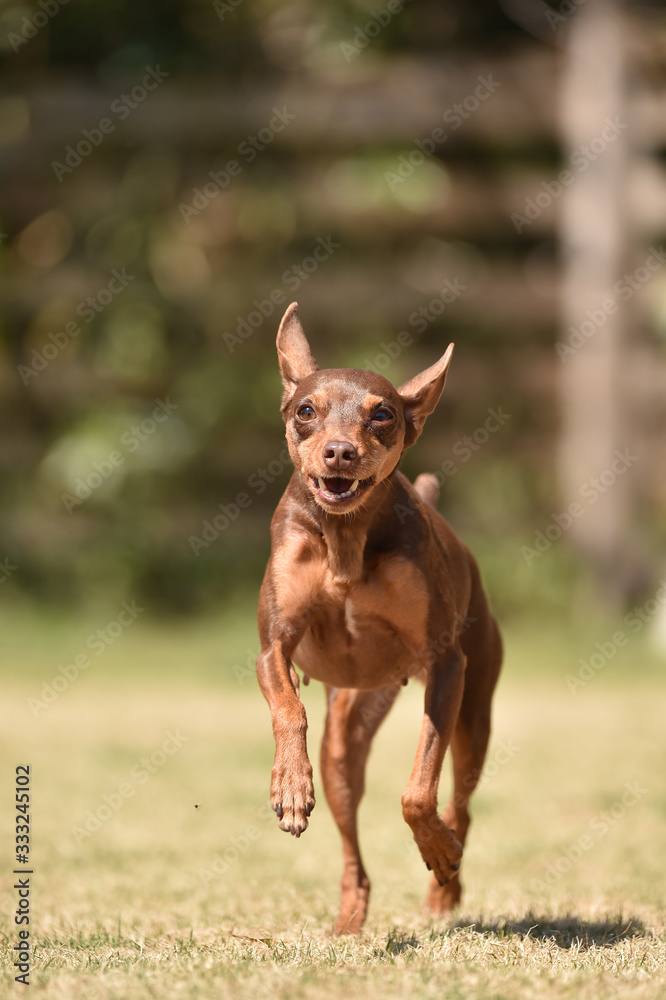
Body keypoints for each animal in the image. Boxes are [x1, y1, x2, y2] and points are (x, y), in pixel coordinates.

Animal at [254, 300, 498, 932]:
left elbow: (418, 790)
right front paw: (290, 784)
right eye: (306, 410)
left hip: (474, 714)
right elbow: (287, 708)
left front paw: (436, 848)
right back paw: (349, 913)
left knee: (461, 801)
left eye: (382, 414)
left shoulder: (444, 666)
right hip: (348, 729)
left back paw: (445, 882)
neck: (346, 538)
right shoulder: (273, 645)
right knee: (349, 834)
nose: (340, 451)